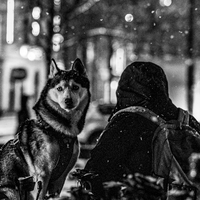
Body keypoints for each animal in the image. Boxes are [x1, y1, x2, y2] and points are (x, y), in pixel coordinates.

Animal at [0, 58, 90, 199]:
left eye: (75, 87)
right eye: (59, 88)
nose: (68, 100)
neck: (60, 130)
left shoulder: (60, 180)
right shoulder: (41, 175)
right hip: (10, 191)